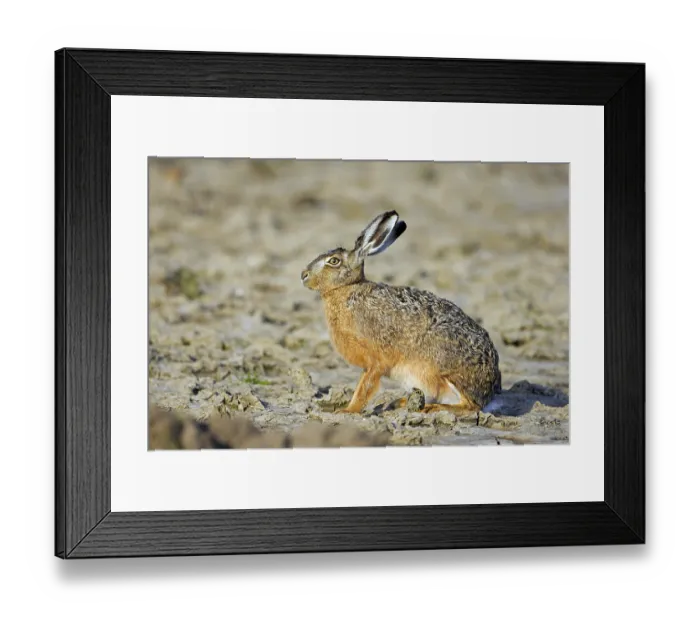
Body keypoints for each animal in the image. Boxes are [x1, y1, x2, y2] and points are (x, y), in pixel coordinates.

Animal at [301, 210, 501, 416]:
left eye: (334, 261)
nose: (303, 275)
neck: (347, 289)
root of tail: (489, 394)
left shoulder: (376, 359)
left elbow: (365, 387)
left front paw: (347, 411)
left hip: (446, 369)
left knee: (469, 405)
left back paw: (430, 407)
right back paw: (402, 402)